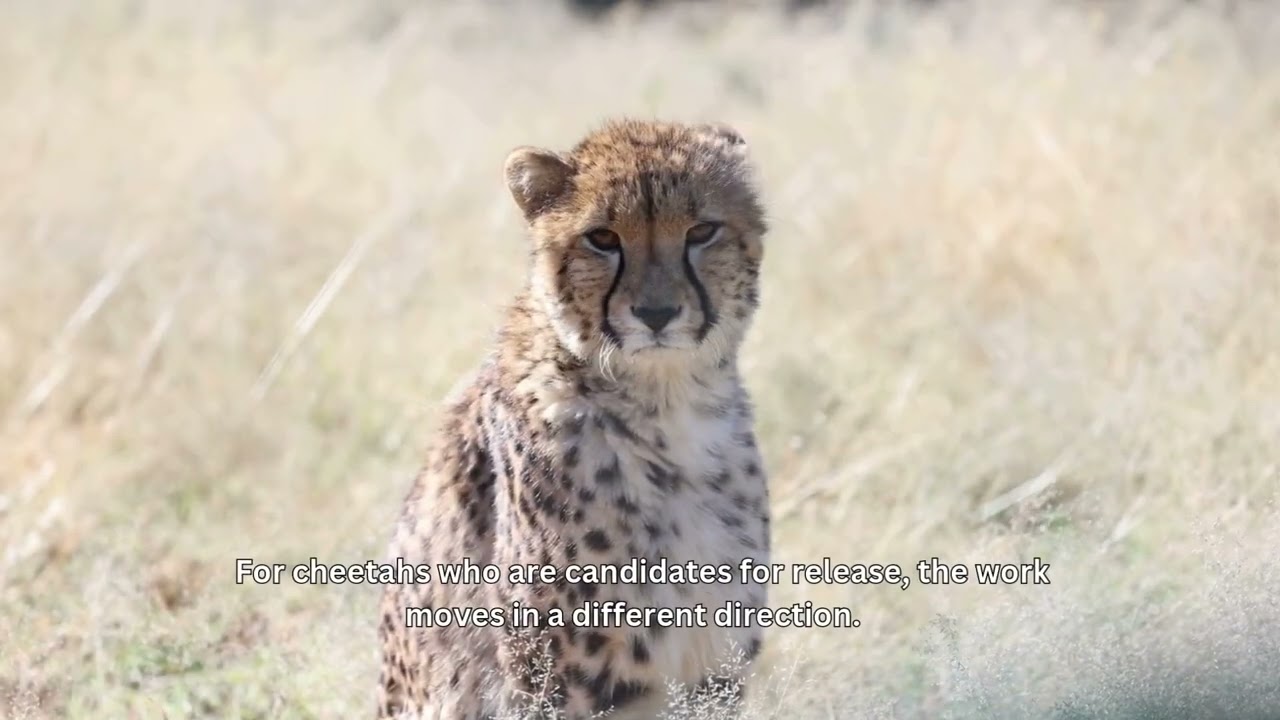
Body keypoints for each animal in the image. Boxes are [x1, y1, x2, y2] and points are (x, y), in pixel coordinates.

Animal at [377, 118, 771, 720]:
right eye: (602, 239)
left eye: (702, 231)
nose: (657, 313)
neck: (669, 405)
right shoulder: (561, 679)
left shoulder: (713, 670)